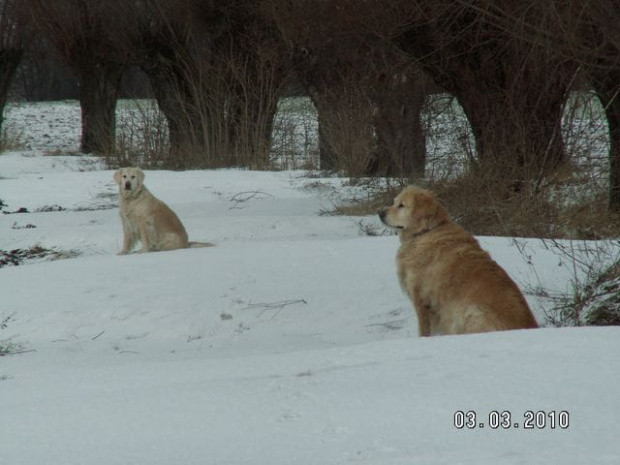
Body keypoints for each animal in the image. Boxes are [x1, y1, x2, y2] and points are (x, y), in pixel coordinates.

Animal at [378, 186, 536, 338]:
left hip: (468, 312)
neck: (426, 231)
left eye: (401, 205)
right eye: (394, 202)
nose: (380, 213)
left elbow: (424, 331)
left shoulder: (421, 300)